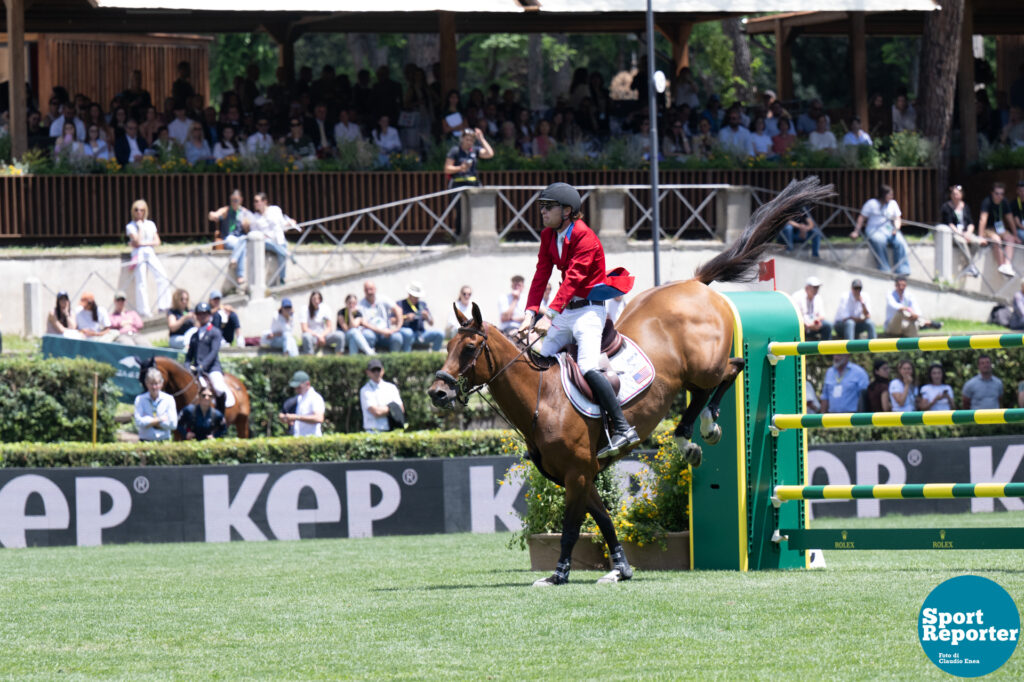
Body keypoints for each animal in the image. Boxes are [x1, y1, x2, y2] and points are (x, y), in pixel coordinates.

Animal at [423, 176, 831, 585]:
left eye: (470, 347)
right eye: (448, 345)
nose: (437, 392)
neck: (542, 400)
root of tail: (694, 283)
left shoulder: (577, 474)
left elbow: (571, 528)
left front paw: (559, 574)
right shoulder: (581, 476)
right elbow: (604, 520)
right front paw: (620, 568)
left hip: (705, 364)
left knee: (732, 368)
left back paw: (704, 427)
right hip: (688, 373)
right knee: (708, 386)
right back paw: (690, 438)